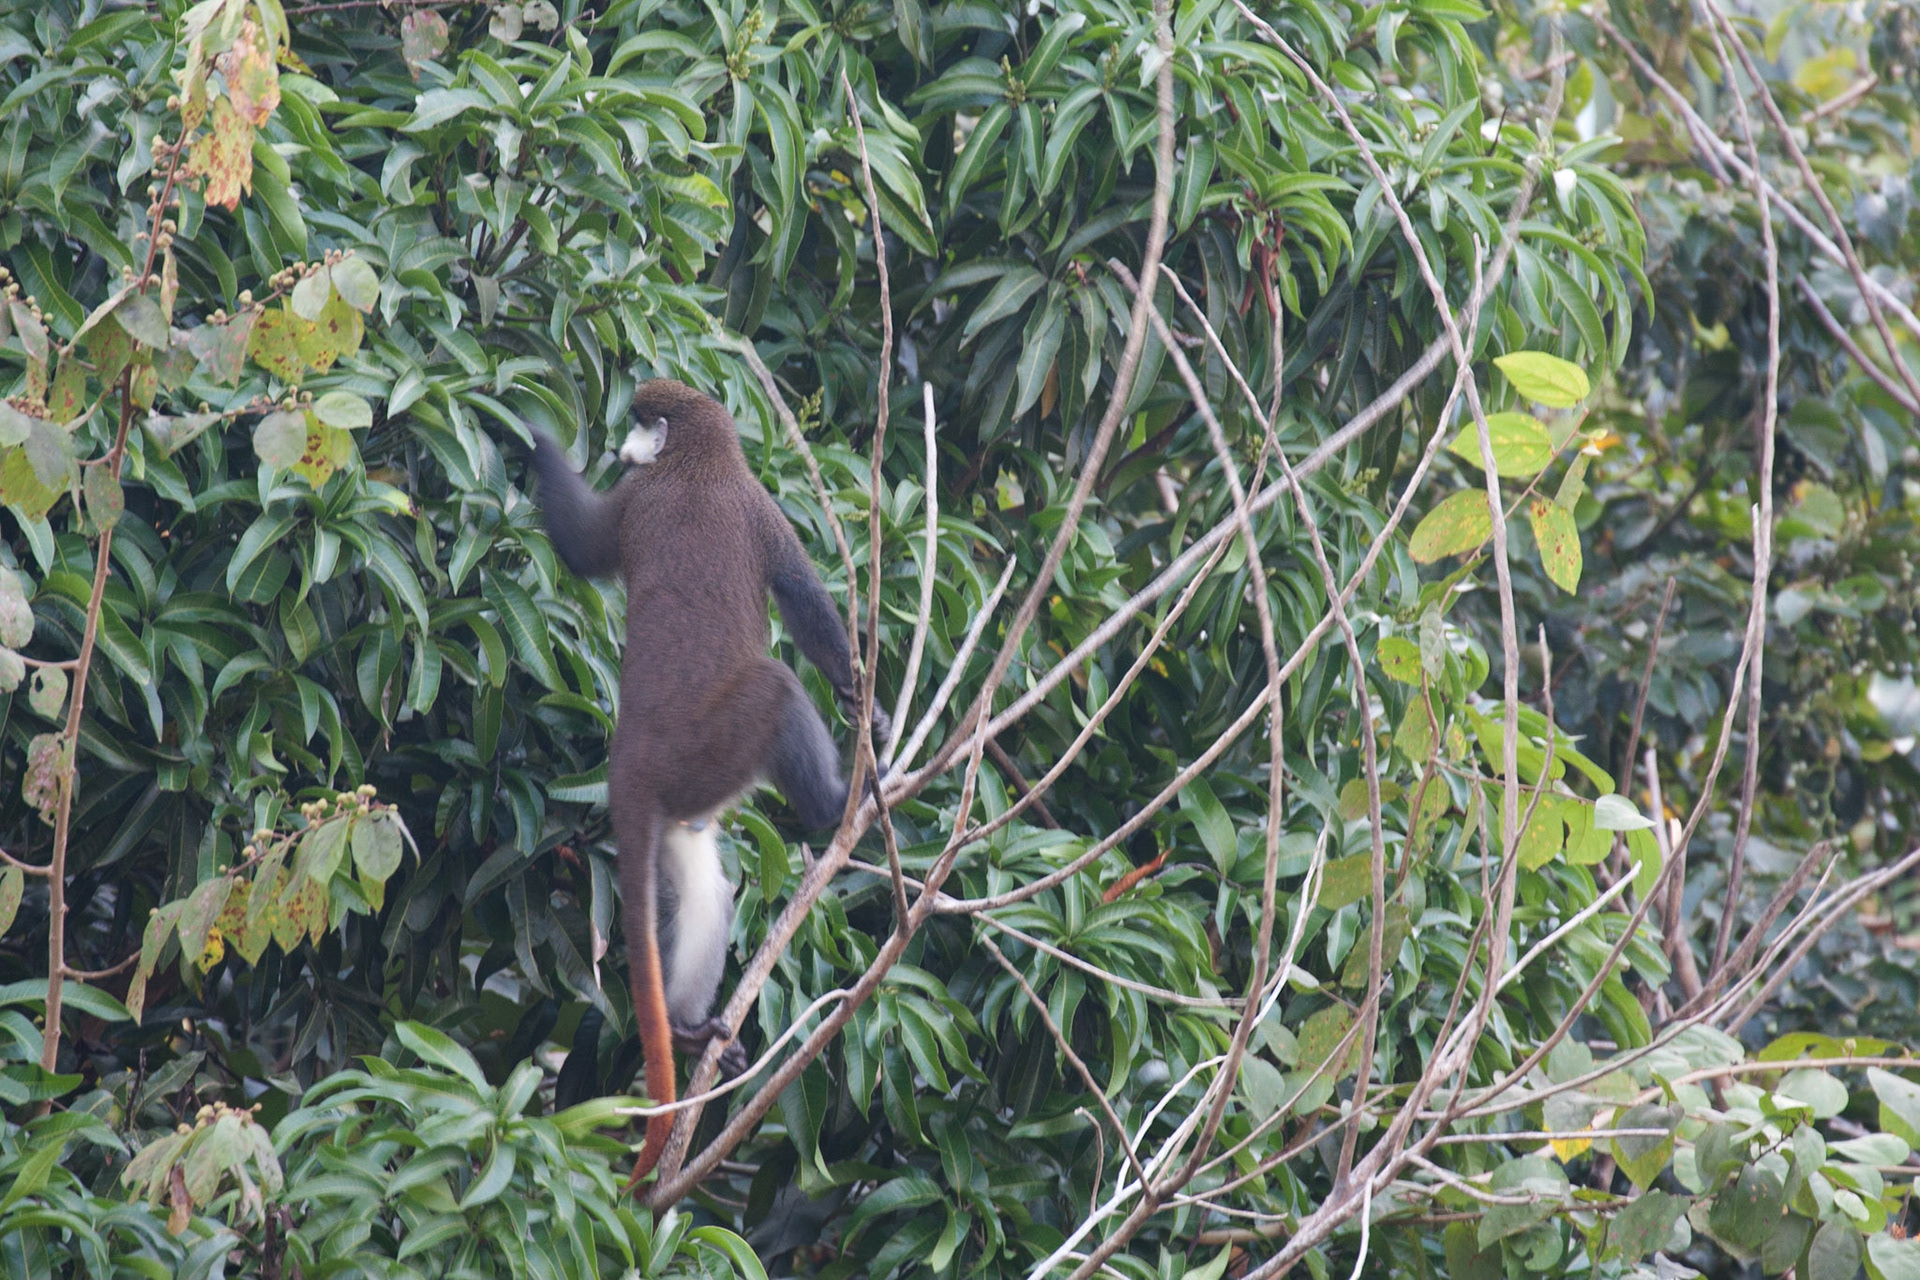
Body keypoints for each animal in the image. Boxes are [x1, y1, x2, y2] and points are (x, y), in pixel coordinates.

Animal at [528, 378, 888, 1188]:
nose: (623, 442)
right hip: (713, 750)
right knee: (778, 686)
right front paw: (858, 697)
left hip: (685, 795)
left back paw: (687, 1032)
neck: (699, 460)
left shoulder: (644, 497)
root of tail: (629, 760)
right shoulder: (749, 505)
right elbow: (802, 596)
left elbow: (582, 548)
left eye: (638, 421)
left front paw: (529, 439)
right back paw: (832, 808)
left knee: (702, 895)